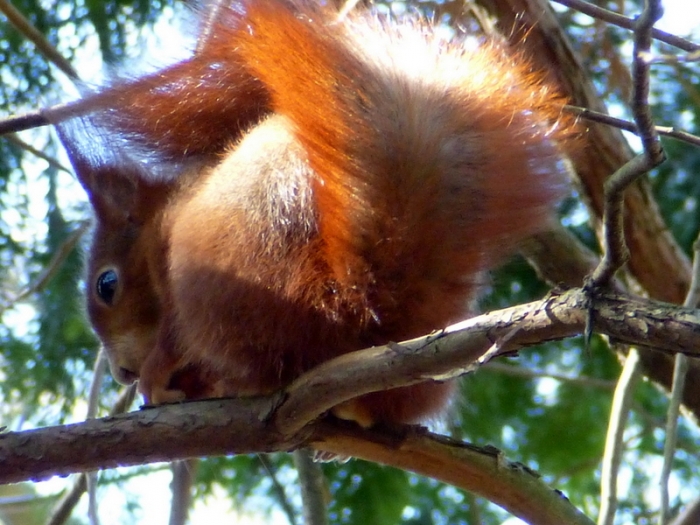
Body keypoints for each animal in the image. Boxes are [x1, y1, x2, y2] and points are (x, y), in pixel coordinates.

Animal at [55, 0, 577, 428]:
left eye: (106, 285)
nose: (122, 373)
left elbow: (173, 340)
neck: (166, 212)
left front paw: (156, 377)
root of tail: (352, 308)